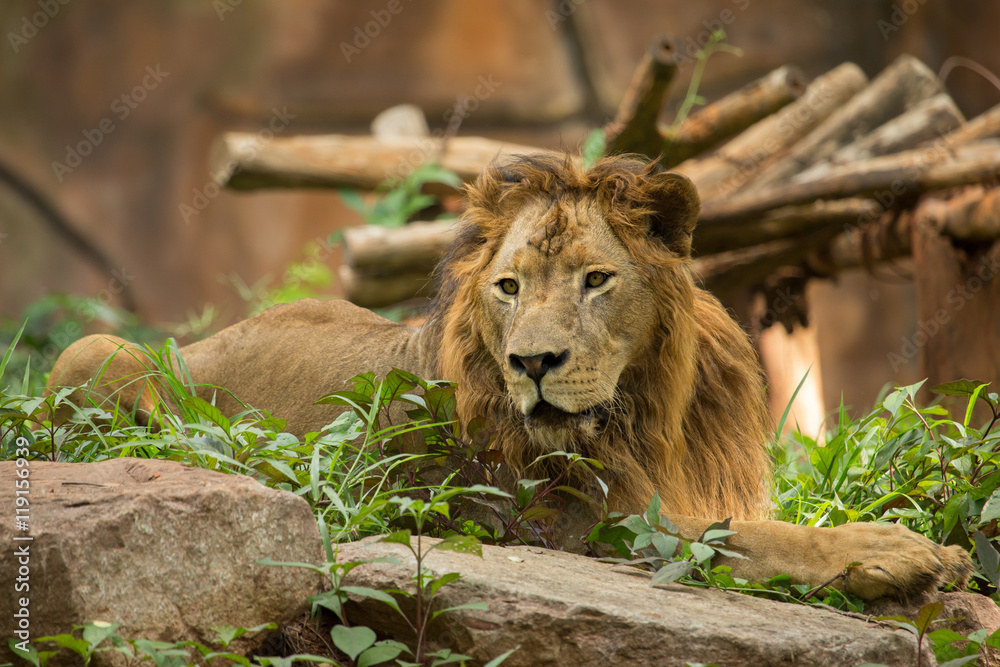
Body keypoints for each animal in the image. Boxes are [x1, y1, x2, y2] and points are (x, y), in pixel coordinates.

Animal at [48, 154, 971, 600]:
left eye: (596, 280)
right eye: (509, 286)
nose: (532, 363)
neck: (648, 409)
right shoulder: (591, 524)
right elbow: (750, 537)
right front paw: (898, 551)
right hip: (97, 349)